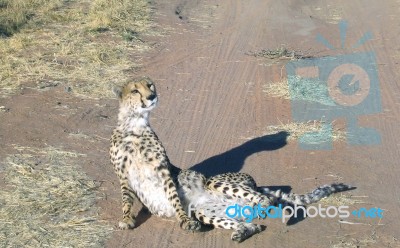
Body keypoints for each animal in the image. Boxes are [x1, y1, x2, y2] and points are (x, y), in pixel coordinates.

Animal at [110, 76, 354, 241]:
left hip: (215, 181)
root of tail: (254, 183)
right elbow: (126, 198)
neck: (135, 125)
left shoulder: (163, 170)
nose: (152, 96)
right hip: (208, 211)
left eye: (150, 85)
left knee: (267, 199)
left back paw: (271, 212)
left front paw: (184, 221)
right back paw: (243, 231)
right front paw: (127, 219)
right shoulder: (123, 174)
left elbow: (173, 197)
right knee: (255, 221)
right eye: (135, 90)